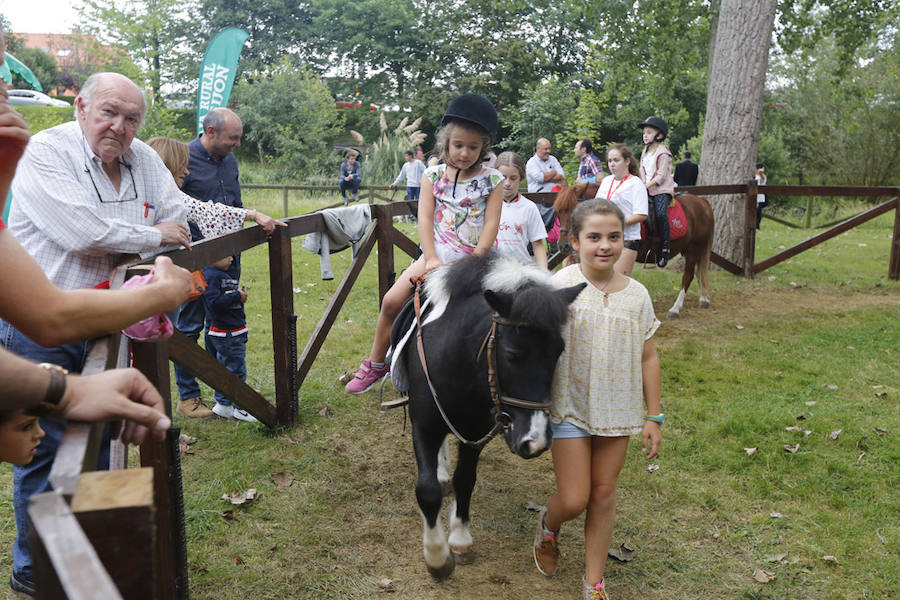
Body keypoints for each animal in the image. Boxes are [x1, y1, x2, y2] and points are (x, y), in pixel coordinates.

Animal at [386, 251, 584, 580]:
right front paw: (437, 558)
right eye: (513, 353)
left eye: (559, 351)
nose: (536, 441)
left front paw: (460, 539)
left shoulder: (474, 431)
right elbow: (427, 491)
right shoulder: (423, 426)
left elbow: (466, 480)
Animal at [552, 183, 712, 318]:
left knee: (688, 276)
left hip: (694, 248)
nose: (563, 246)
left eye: (574, 211)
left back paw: (675, 309)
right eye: (558, 212)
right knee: (699, 272)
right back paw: (703, 298)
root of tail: (701, 201)